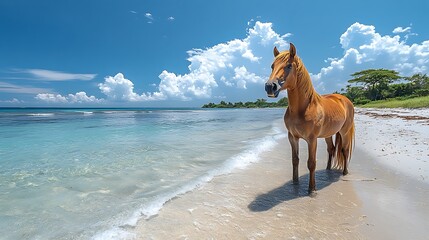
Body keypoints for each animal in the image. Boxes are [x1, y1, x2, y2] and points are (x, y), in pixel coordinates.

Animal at [264, 43, 354, 195]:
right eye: (272, 66)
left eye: (289, 66)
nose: (270, 87)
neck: (303, 108)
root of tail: (344, 99)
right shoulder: (292, 137)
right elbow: (295, 160)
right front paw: (295, 183)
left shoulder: (312, 140)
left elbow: (311, 163)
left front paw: (312, 189)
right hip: (328, 134)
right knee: (331, 149)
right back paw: (328, 170)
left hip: (344, 132)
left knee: (344, 150)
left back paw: (345, 173)